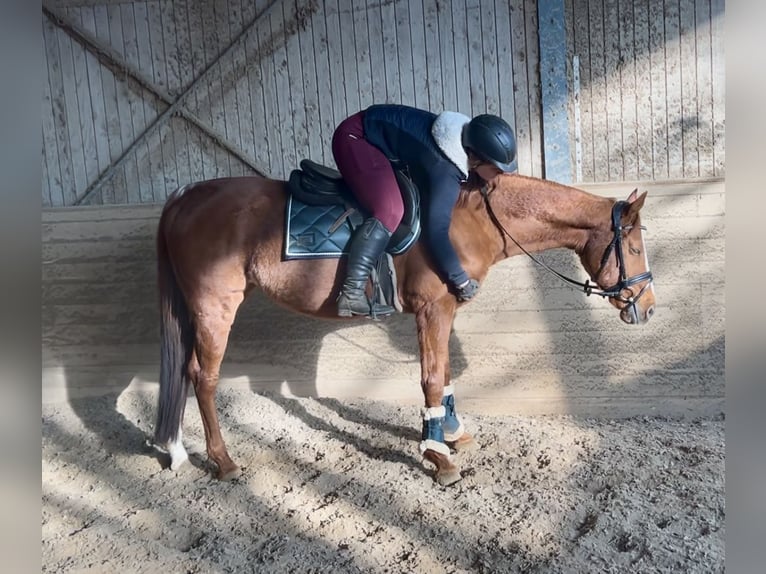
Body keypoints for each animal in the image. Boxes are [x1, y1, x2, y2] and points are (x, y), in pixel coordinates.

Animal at [153, 174, 656, 486]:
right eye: (633, 247)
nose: (648, 309)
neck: (468, 220)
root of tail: (186, 195)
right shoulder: (433, 310)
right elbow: (431, 379)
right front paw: (438, 457)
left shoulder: (445, 312)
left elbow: (445, 374)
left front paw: (452, 434)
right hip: (215, 309)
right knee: (202, 378)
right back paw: (222, 461)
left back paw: (177, 449)